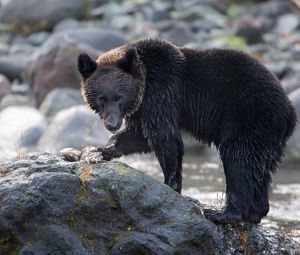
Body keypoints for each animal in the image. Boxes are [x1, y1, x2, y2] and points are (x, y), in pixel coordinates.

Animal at [77, 37, 296, 223]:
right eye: (102, 99)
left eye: (119, 98)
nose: (112, 124)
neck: (145, 80)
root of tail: (290, 112)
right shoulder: (144, 107)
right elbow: (139, 136)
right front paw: (103, 149)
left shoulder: (162, 93)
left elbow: (164, 137)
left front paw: (170, 185)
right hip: (268, 137)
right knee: (259, 169)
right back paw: (256, 212)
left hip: (249, 119)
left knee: (238, 161)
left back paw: (221, 213)